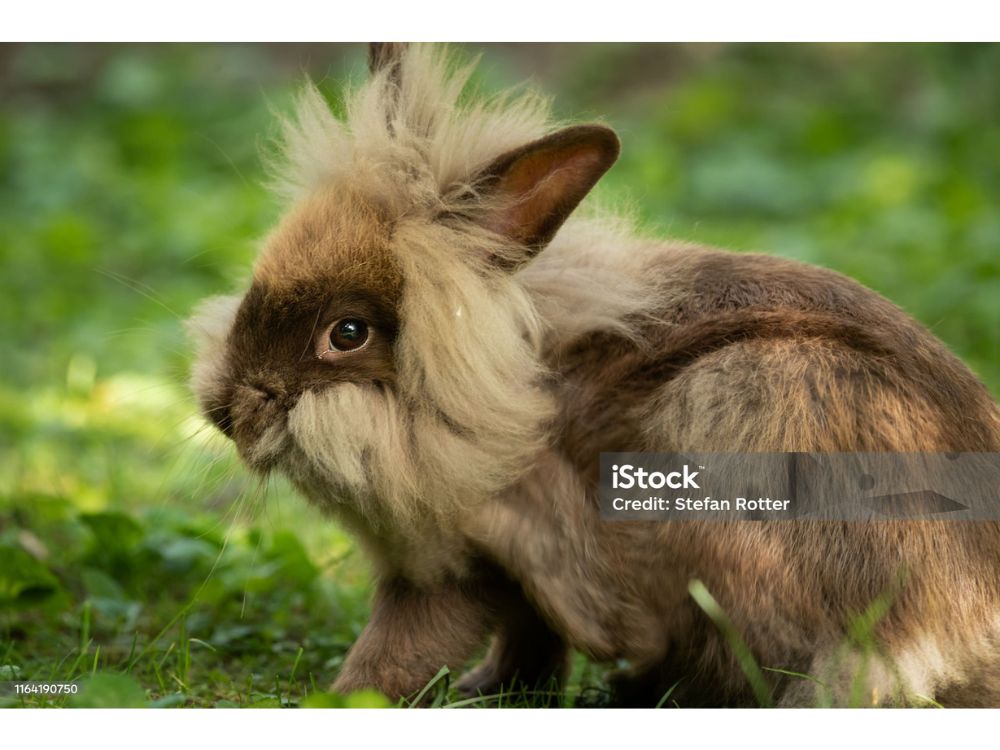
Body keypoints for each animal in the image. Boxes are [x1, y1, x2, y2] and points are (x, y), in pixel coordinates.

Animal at [188, 44, 1000, 708]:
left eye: (347, 334)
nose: (229, 407)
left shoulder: (463, 566)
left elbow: (399, 649)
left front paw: (338, 699)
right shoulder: (515, 584)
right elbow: (525, 641)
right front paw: (493, 690)